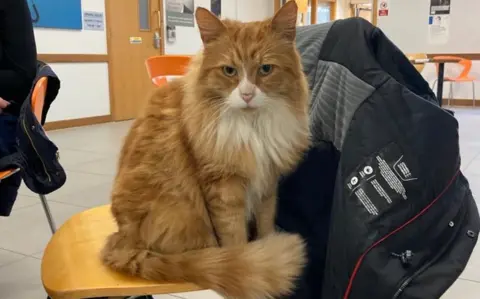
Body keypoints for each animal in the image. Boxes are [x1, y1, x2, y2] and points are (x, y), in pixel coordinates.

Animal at [101, 1, 312, 298]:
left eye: (266, 69)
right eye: (229, 71)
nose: (247, 94)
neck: (252, 127)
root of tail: (121, 239)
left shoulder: (267, 183)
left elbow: (265, 223)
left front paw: (265, 244)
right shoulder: (223, 187)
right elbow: (234, 239)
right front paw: (246, 263)